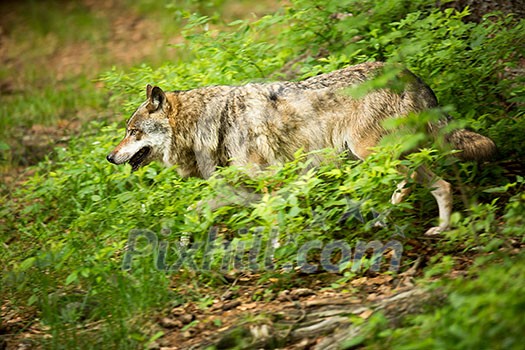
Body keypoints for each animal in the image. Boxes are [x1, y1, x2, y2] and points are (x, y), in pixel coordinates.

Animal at [107, 62, 496, 235]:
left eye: (132, 132)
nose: (110, 157)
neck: (209, 124)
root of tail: (407, 73)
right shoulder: (239, 189)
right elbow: (195, 211)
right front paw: (184, 239)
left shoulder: (270, 182)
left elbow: (275, 220)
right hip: (376, 156)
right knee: (416, 184)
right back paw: (388, 218)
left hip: (372, 152)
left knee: (440, 184)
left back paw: (439, 228)